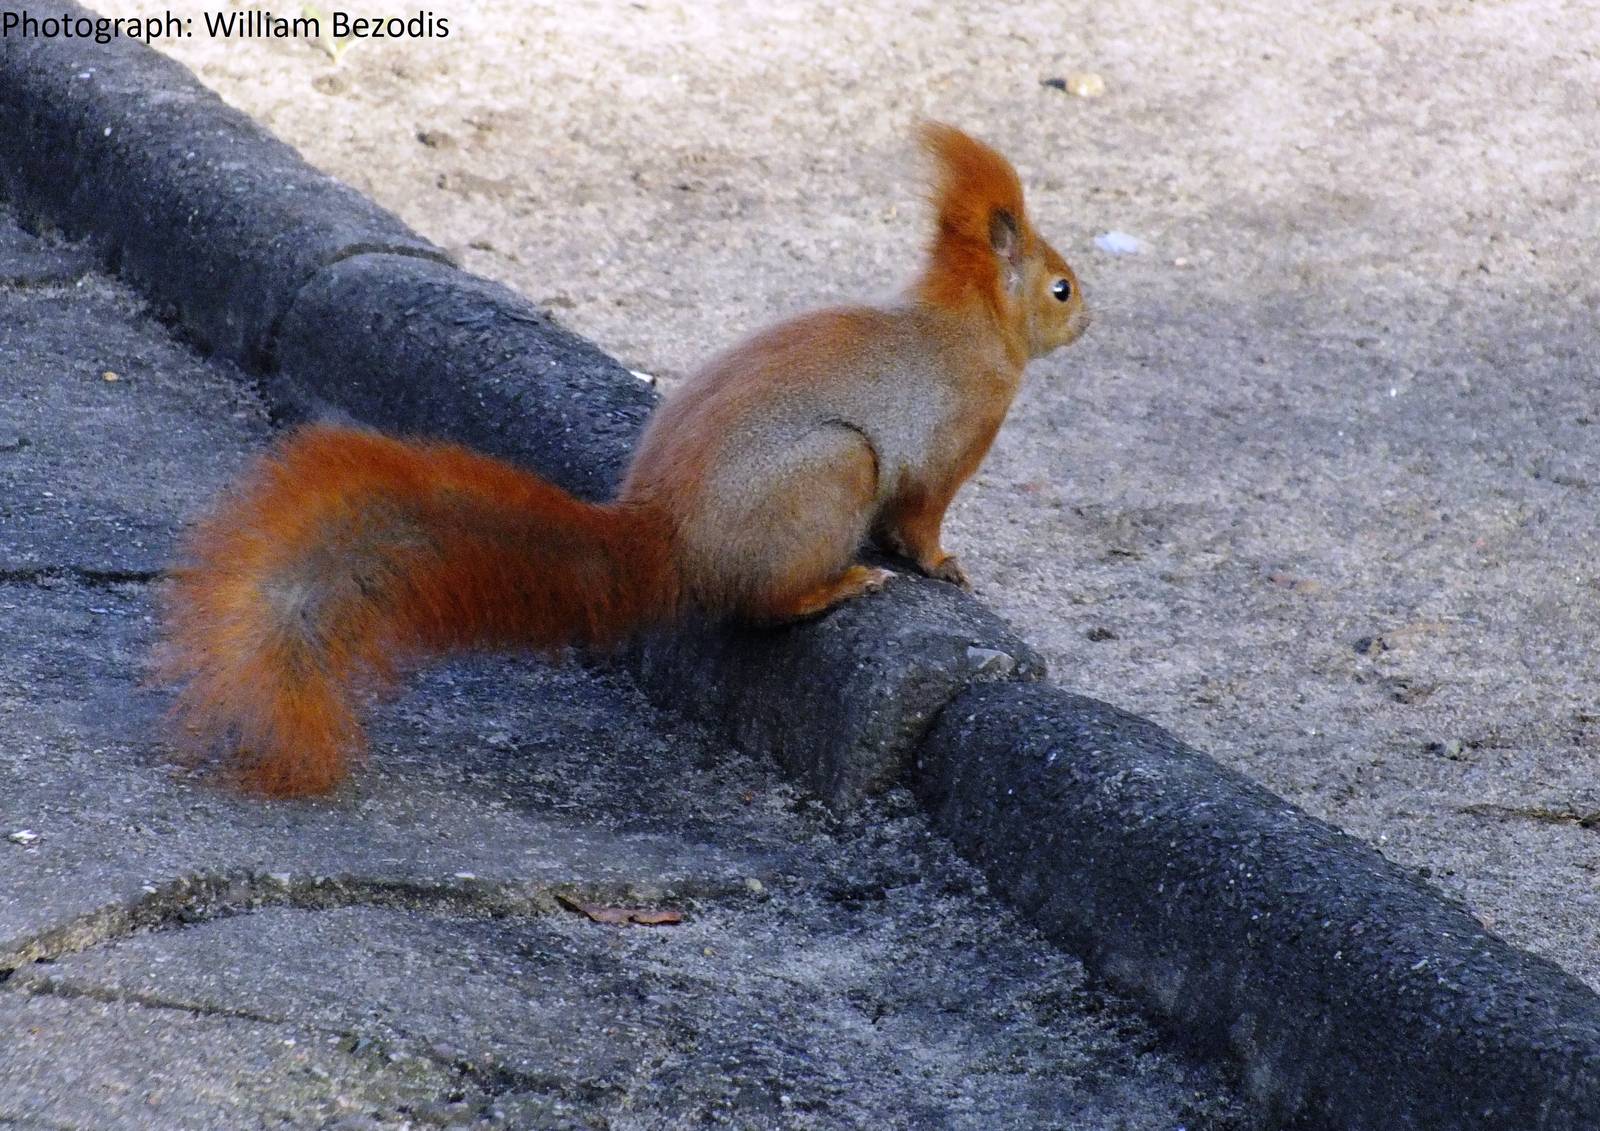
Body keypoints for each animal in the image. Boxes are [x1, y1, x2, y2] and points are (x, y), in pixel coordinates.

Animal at [161, 123, 1089, 796]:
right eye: (1061, 288)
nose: (1090, 319)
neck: (971, 326)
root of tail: (668, 538)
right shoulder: (952, 442)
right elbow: (921, 519)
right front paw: (944, 566)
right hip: (834, 467)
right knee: (764, 604)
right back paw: (839, 584)